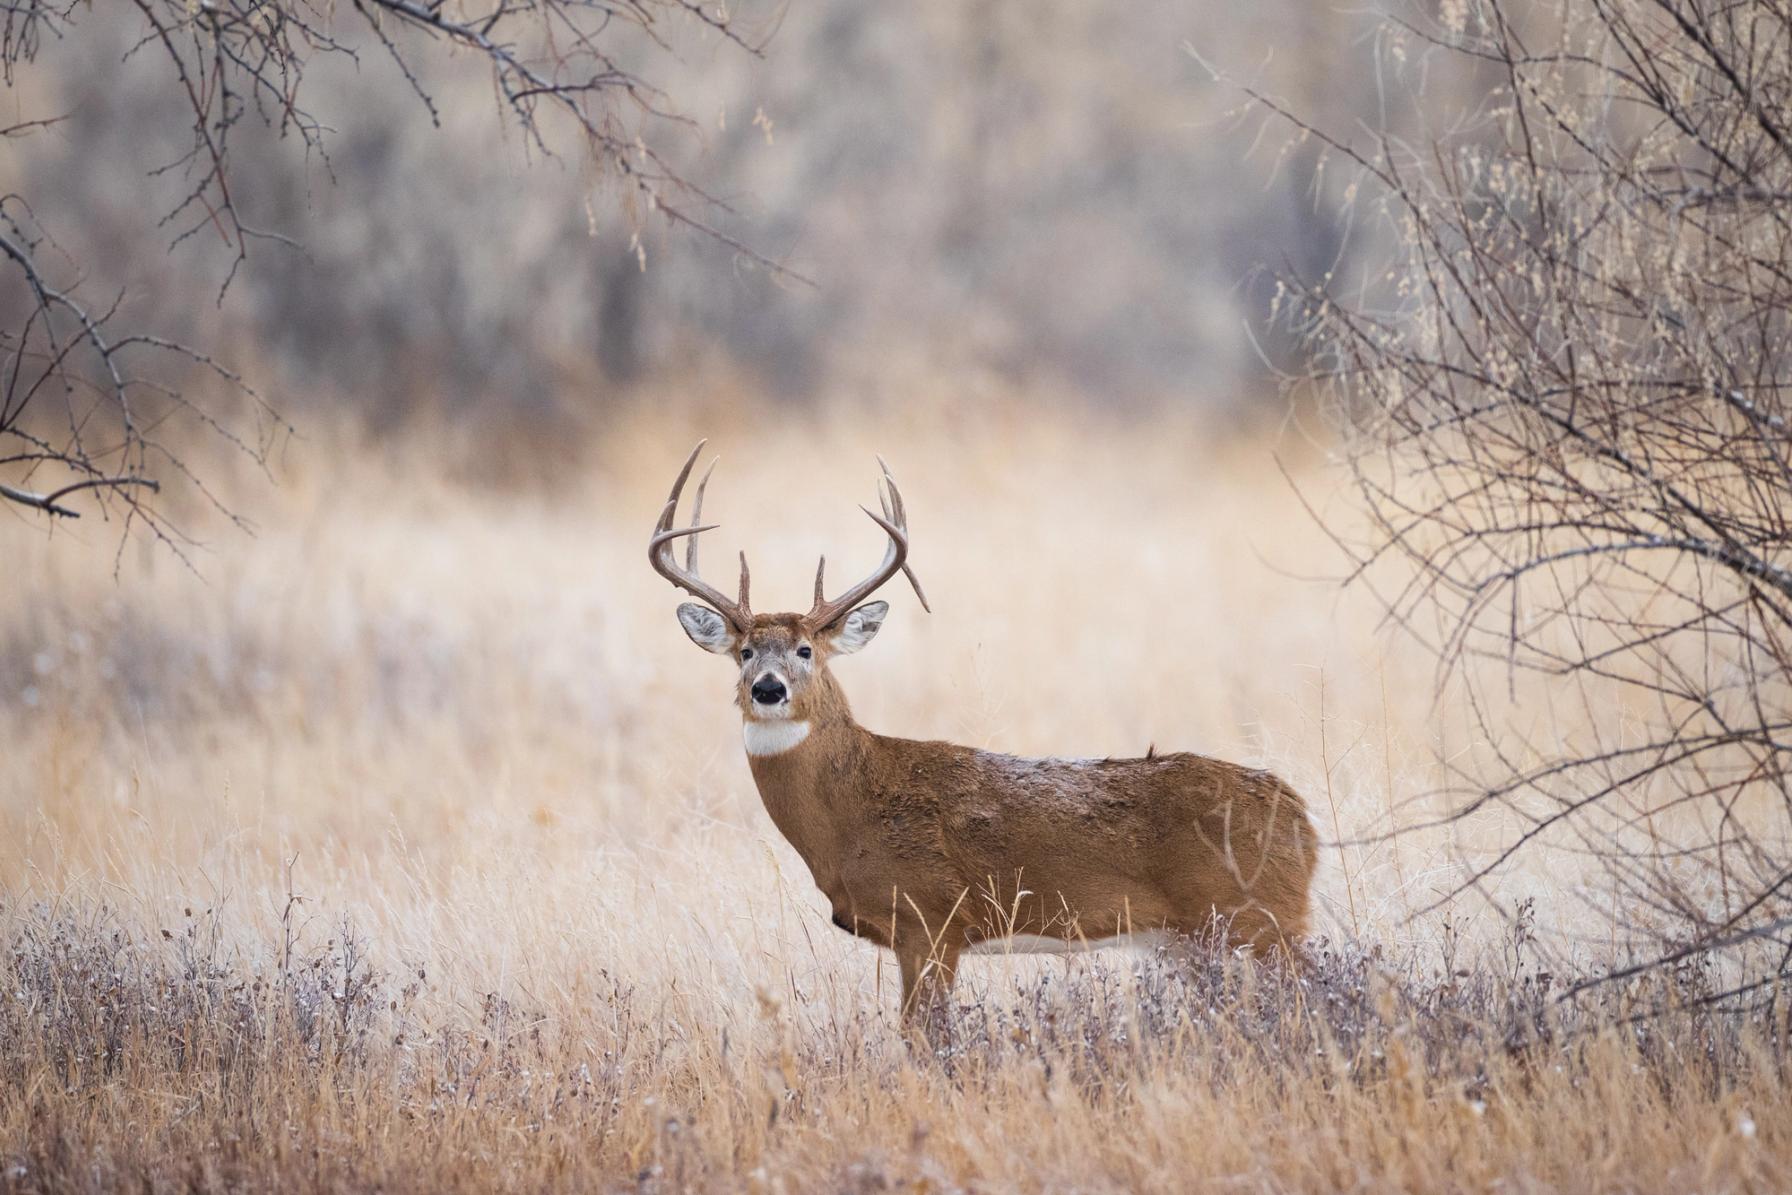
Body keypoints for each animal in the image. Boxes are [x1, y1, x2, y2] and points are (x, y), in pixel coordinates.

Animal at [649, 441, 1319, 1027]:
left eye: (806, 650)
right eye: (743, 652)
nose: (768, 689)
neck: (853, 811)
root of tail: (1302, 820)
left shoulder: (931, 919)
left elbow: (921, 1037)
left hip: (1261, 918)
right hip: (1196, 938)